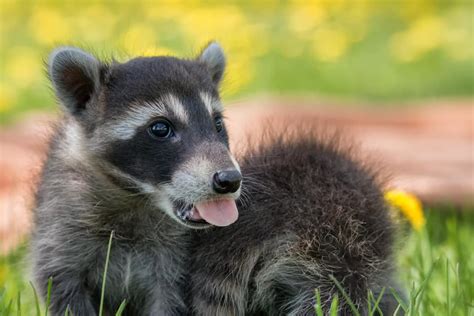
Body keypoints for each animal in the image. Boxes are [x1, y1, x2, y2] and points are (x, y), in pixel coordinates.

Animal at [32, 42, 404, 316]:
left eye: (218, 124)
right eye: (160, 128)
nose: (230, 180)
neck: (134, 199)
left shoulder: (173, 267)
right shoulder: (62, 230)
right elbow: (61, 288)